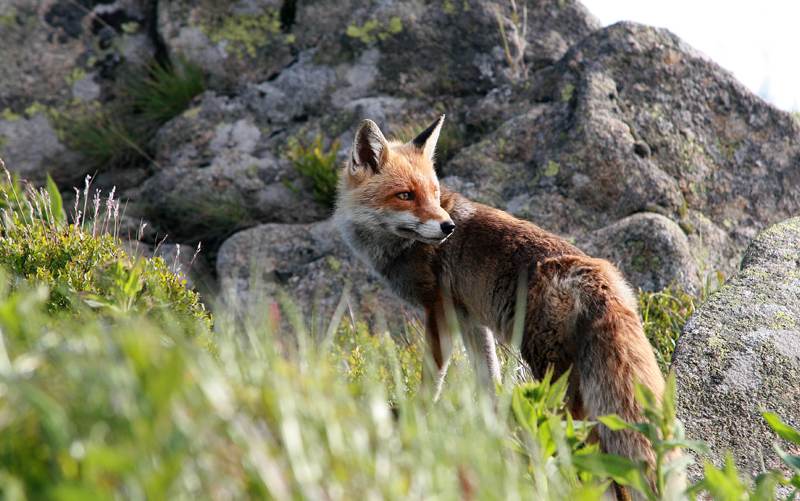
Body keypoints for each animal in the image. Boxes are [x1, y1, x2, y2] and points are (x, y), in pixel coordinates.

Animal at [334, 115, 680, 498]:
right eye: (406, 195)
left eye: (434, 195)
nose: (448, 227)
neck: (401, 249)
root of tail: (597, 275)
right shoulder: (470, 319)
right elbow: (489, 381)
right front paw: (492, 429)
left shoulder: (438, 310)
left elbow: (432, 377)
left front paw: (417, 414)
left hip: (553, 380)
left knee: (592, 448)